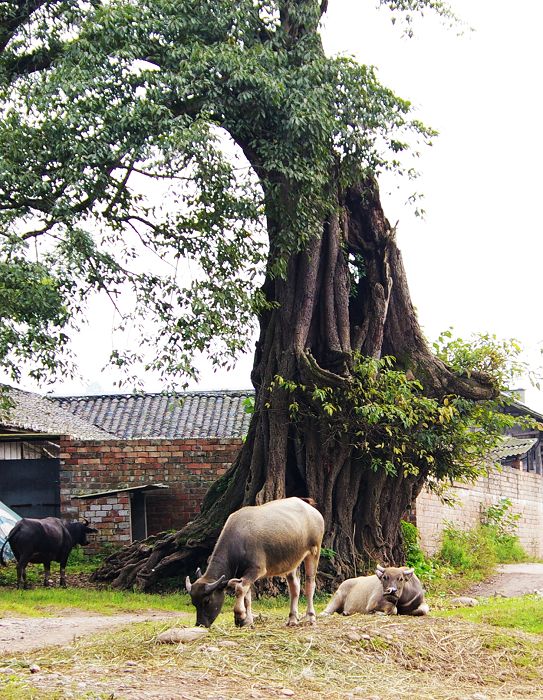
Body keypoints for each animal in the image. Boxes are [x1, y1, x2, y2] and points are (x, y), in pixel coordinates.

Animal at [185, 498, 326, 628]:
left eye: (207, 601)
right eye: (193, 602)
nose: (200, 624)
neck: (238, 542)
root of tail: (313, 511)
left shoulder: (255, 570)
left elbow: (240, 589)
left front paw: (239, 616)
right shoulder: (243, 573)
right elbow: (247, 597)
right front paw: (247, 621)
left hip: (314, 551)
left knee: (310, 584)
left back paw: (311, 617)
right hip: (292, 560)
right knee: (294, 588)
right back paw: (292, 619)